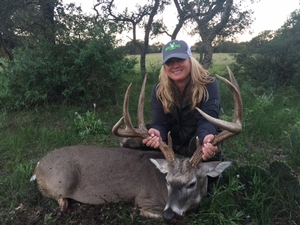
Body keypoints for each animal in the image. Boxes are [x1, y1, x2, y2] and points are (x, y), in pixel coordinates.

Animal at [29, 66, 241, 223]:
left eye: (192, 183)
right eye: (167, 180)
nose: (169, 214)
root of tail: (38, 165)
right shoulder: (144, 198)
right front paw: (136, 212)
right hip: (61, 181)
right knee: (59, 199)